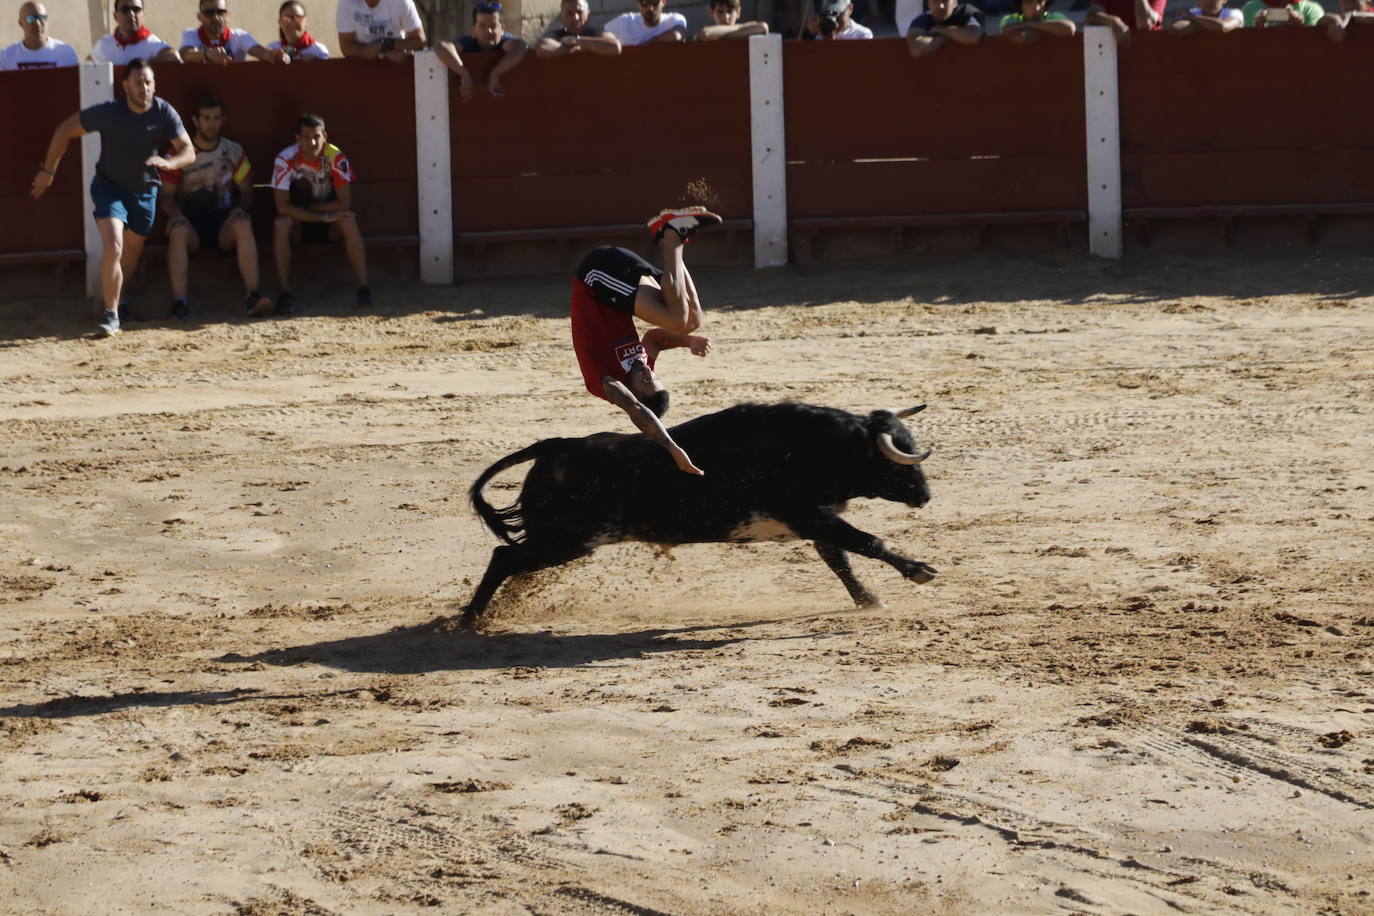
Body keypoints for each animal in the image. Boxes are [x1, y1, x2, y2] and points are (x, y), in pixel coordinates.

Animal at [461, 403, 934, 626]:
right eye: (898, 460)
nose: (926, 496)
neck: (821, 447)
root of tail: (555, 446)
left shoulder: (815, 521)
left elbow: (840, 559)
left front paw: (869, 599)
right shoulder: (809, 515)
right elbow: (866, 541)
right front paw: (920, 571)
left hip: (560, 542)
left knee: (511, 564)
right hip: (567, 541)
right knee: (504, 558)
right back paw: (469, 619)